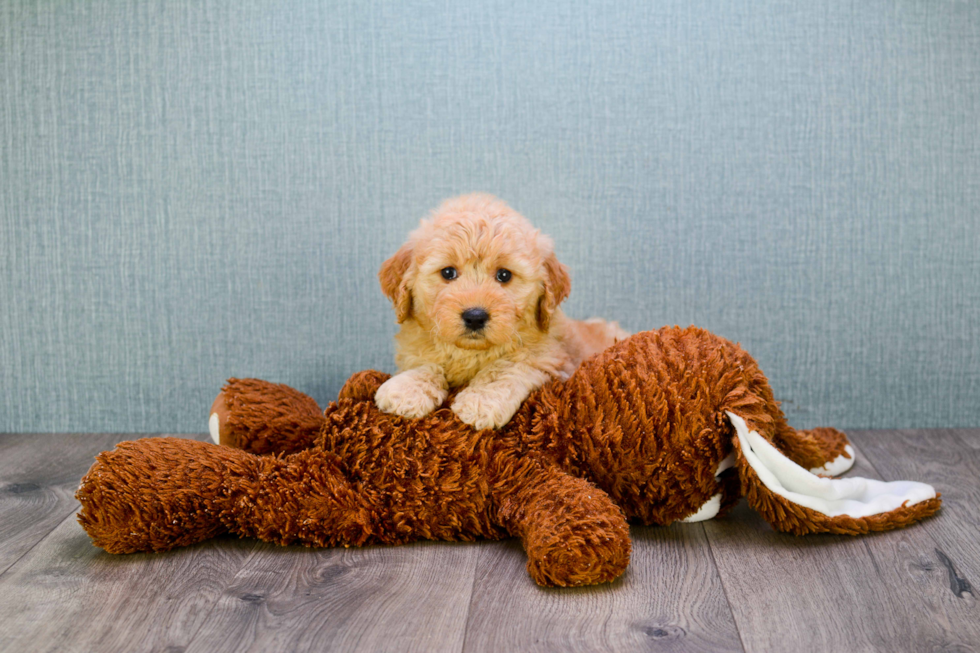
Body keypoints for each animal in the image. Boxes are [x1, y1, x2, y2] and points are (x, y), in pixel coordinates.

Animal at [376, 191, 628, 430]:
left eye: (504, 275)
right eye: (448, 272)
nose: (475, 317)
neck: (470, 353)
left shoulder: (552, 360)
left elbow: (505, 367)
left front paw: (480, 402)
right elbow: (424, 363)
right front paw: (406, 389)